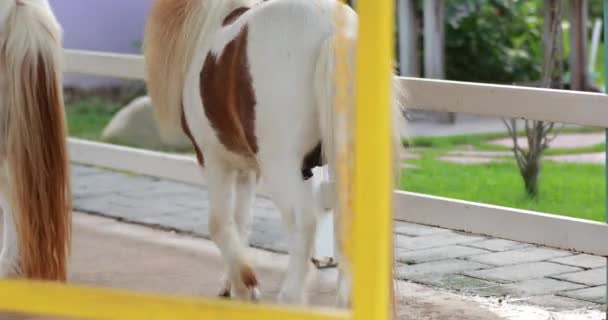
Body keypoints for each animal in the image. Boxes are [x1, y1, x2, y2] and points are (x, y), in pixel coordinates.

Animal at [145, 0, 406, 306]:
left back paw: (290, 295)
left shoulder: (213, 158)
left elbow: (219, 224)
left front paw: (245, 284)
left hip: (279, 166)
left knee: (304, 223)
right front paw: (232, 283)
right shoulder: (251, 169)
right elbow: (241, 223)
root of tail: (331, 27)